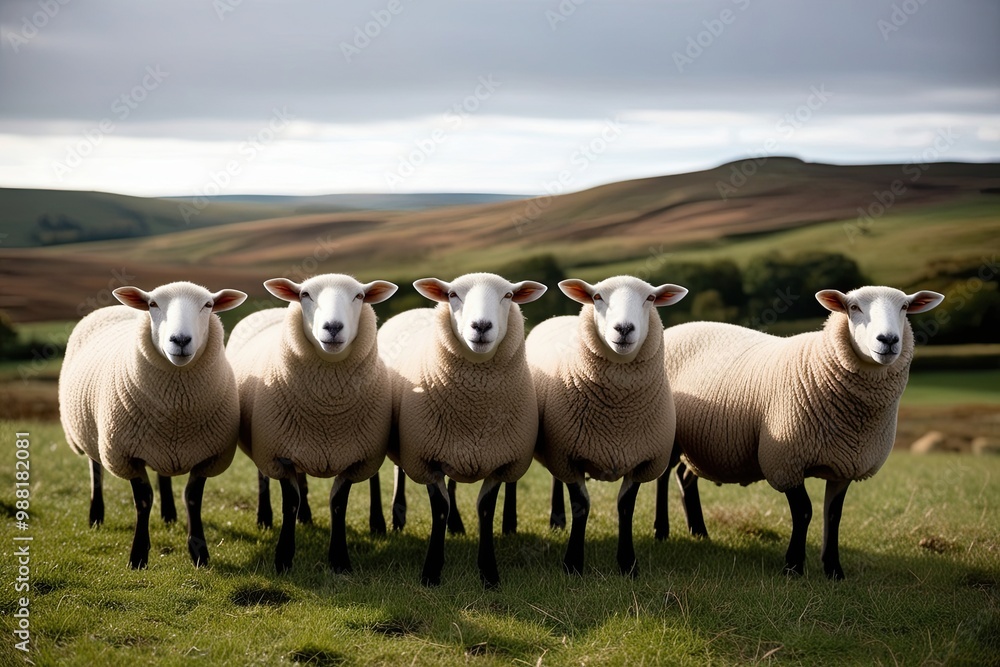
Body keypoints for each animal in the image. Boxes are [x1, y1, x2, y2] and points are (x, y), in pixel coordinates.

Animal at [59, 281, 247, 569]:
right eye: (152, 304)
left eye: (208, 305)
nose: (180, 340)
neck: (176, 410)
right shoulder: (125, 454)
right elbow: (144, 500)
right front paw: (138, 555)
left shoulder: (210, 455)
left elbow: (193, 498)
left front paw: (199, 553)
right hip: (90, 433)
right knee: (96, 470)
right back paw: (96, 515)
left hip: (159, 443)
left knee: (163, 474)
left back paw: (169, 514)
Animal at [225, 273, 398, 574]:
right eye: (304, 294)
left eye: (359, 296)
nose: (333, 327)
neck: (326, 412)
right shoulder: (279, 453)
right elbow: (290, 501)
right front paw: (283, 557)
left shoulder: (356, 454)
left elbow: (338, 504)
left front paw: (339, 559)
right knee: (264, 476)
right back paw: (265, 518)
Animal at [378, 273, 546, 587]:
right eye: (453, 294)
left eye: (508, 296)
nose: (480, 326)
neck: (474, 413)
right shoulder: (425, 458)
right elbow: (439, 508)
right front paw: (431, 572)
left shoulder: (498, 460)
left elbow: (485, 509)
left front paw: (489, 573)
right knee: (398, 472)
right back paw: (396, 517)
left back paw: (457, 525)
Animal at [527, 276, 688, 577]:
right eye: (597, 297)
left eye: (650, 298)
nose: (624, 329)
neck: (616, 418)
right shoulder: (568, 454)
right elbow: (581, 505)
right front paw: (573, 563)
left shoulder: (642, 460)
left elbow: (626, 508)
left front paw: (627, 564)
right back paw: (556, 520)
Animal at [653, 286, 944, 579]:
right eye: (853, 307)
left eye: (905, 307)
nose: (888, 340)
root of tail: (677, 328)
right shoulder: (785, 461)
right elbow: (804, 512)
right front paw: (793, 566)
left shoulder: (845, 465)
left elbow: (833, 515)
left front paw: (833, 570)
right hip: (666, 431)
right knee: (664, 476)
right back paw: (661, 531)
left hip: (701, 443)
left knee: (685, 476)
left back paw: (699, 532)